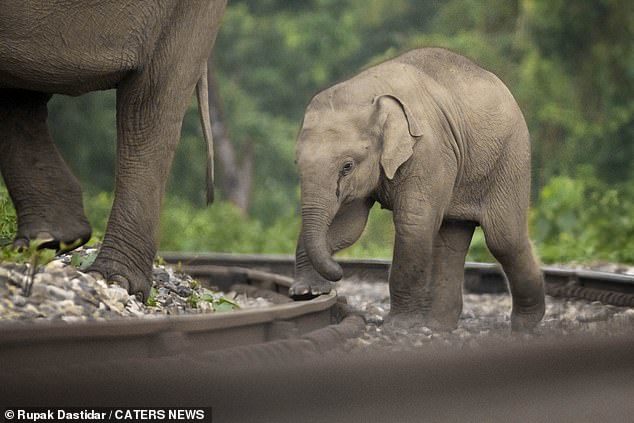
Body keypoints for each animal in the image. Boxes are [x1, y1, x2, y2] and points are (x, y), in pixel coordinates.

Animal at [292, 48, 544, 332]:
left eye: (347, 166)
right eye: (296, 162)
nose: (340, 273)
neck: (368, 92)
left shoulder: (428, 150)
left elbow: (414, 223)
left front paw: (398, 325)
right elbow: (349, 225)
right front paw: (305, 293)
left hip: (510, 157)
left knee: (504, 238)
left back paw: (525, 325)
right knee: (451, 241)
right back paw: (438, 326)